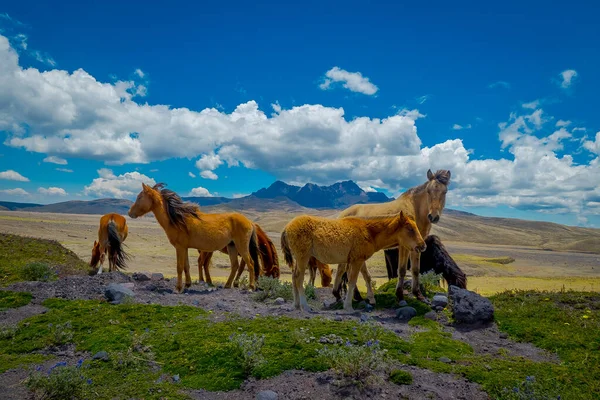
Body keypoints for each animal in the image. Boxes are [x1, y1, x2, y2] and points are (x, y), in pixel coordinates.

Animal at [129, 183, 260, 292]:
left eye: (139, 197)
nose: (130, 213)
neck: (178, 220)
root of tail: (249, 222)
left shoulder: (180, 247)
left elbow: (179, 267)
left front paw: (178, 288)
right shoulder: (185, 248)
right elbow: (186, 266)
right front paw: (187, 284)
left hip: (241, 246)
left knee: (250, 263)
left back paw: (250, 287)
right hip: (232, 246)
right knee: (235, 265)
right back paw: (227, 286)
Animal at [282, 212, 426, 312]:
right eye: (409, 228)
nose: (423, 246)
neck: (369, 232)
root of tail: (287, 227)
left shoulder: (359, 260)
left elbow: (367, 277)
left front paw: (371, 299)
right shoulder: (356, 261)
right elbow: (352, 281)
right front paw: (348, 307)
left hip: (299, 259)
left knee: (294, 277)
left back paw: (296, 305)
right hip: (303, 257)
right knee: (299, 278)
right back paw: (305, 306)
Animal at [332, 169, 450, 304]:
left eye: (445, 191)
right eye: (428, 191)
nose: (433, 216)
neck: (414, 209)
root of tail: (341, 215)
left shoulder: (416, 245)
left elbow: (415, 269)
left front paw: (419, 295)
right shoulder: (404, 246)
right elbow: (402, 270)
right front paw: (400, 296)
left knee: (345, 268)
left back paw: (350, 296)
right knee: (344, 269)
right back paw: (348, 295)